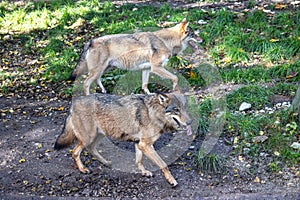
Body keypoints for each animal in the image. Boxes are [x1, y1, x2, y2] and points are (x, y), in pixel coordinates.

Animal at [54, 92, 192, 186]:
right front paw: (172, 180)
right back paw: (83, 169)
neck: (154, 113)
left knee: (91, 149)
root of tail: (74, 103)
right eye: (176, 110)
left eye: (185, 109)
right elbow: (163, 164)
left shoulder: (139, 143)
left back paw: (106, 162)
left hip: (99, 135)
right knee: (75, 152)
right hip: (88, 137)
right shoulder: (145, 144)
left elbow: (139, 160)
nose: (190, 122)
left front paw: (144, 172)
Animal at [69, 18, 203, 95]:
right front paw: (176, 90)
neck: (165, 41)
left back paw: (104, 91)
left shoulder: (147, 69)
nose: (202, 39)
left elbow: (144, 85)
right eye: (194, 35)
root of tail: (90, 41)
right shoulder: (156, 68)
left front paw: (149, 95)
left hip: (105, 69)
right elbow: (175, 78)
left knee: (97, 80)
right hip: (98, 70)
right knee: (86, 83)